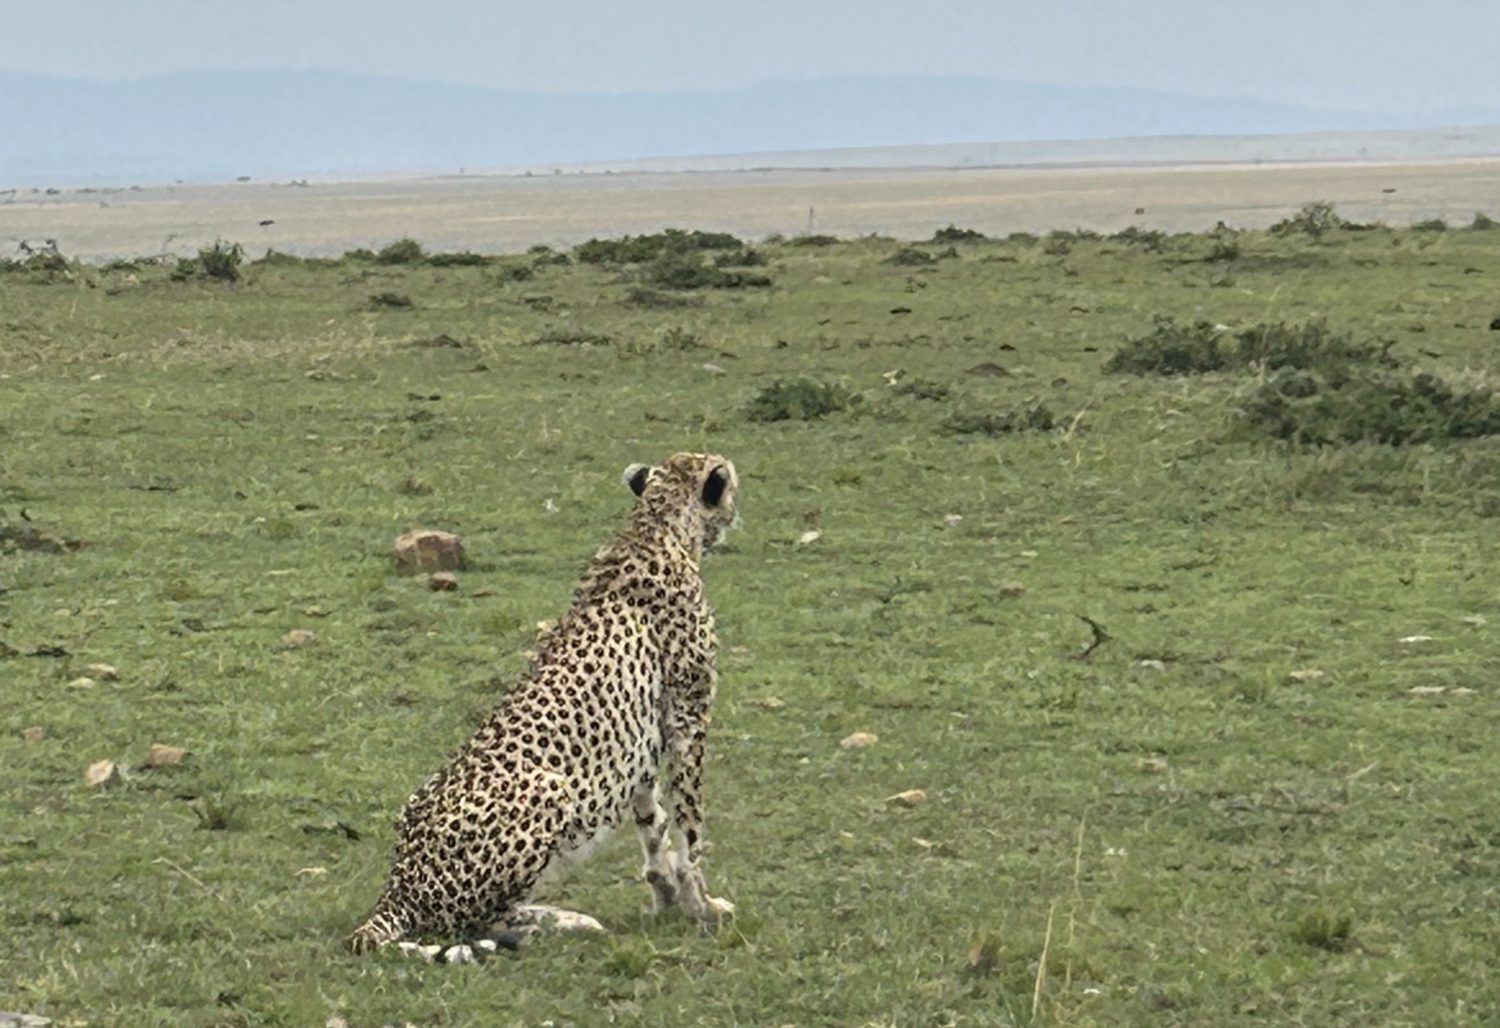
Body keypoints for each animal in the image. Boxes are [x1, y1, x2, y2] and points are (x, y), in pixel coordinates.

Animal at [342, 453, 738, 960]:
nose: (733, 511)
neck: (656, 527)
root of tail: (397, 886)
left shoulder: (643, 739)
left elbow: (653, 825)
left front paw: (665, 897)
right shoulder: (688, 716)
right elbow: (689, 827)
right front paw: (701, 905)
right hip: (550, 788)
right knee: (481, 923)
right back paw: (563, 921)